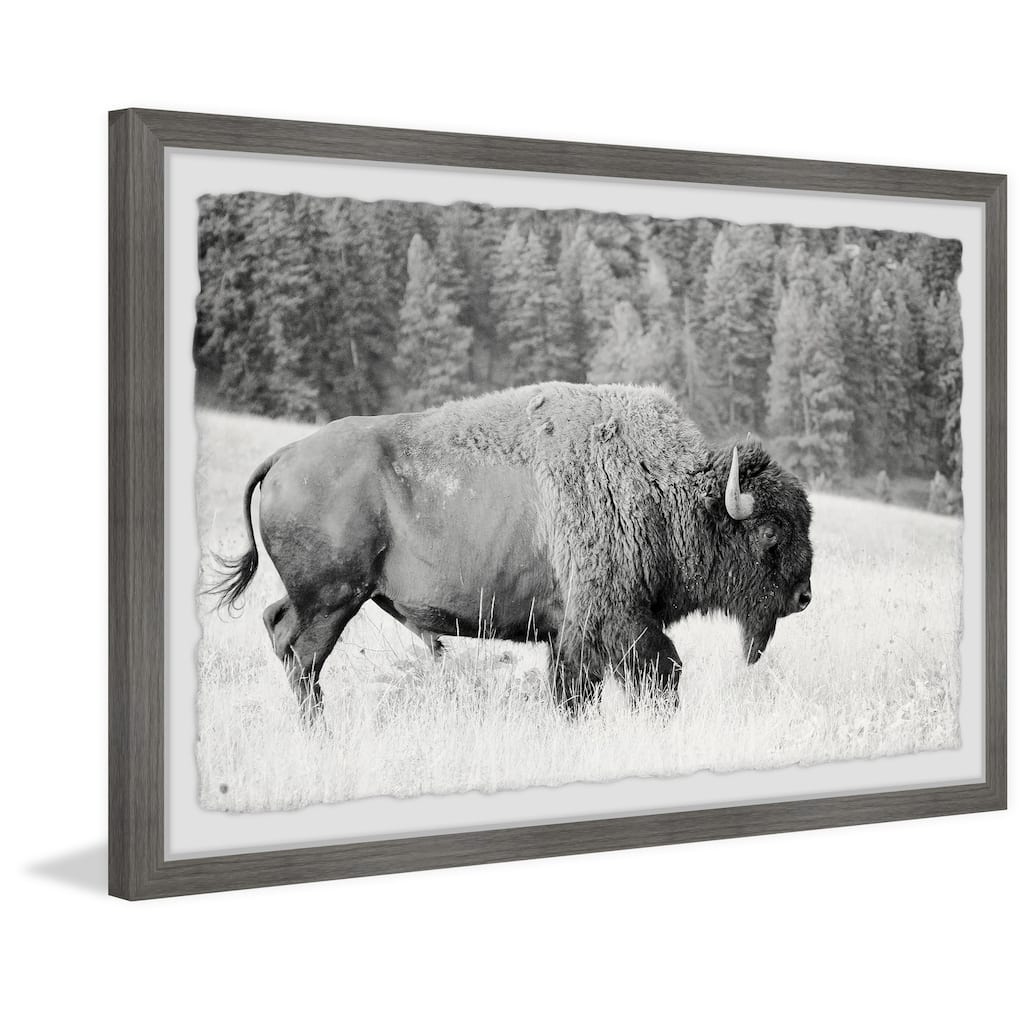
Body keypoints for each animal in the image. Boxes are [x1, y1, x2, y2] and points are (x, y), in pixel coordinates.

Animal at [210, 382, 813, 720]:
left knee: (277, 628)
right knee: (302, 657)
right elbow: (660, 674)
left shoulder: (568, 635)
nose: (804, 596)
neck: (665, 490)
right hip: (332, 600)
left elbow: (574, 694)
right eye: (769, 532)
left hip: (319, 599)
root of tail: (286, 455)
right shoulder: (618, 621)